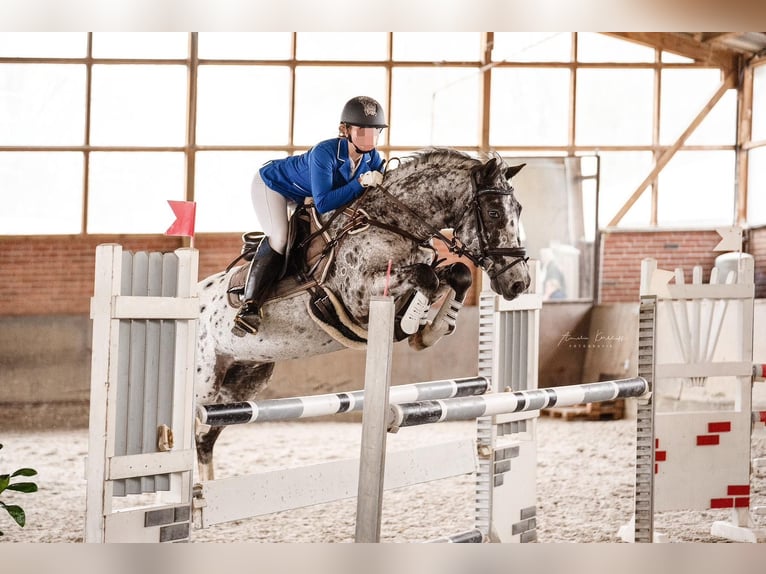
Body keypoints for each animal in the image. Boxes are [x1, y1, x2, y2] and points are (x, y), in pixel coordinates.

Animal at [195, 150, 532, 482]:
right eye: (494, 213)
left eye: (518, 209)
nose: (519, 282)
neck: (392, 223)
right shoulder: (359, 294)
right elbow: (427, 277)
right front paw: (413, 325)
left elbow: (455, 273)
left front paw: (430, 330)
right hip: (205, 382)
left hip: (242, 382)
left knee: (204, 439)